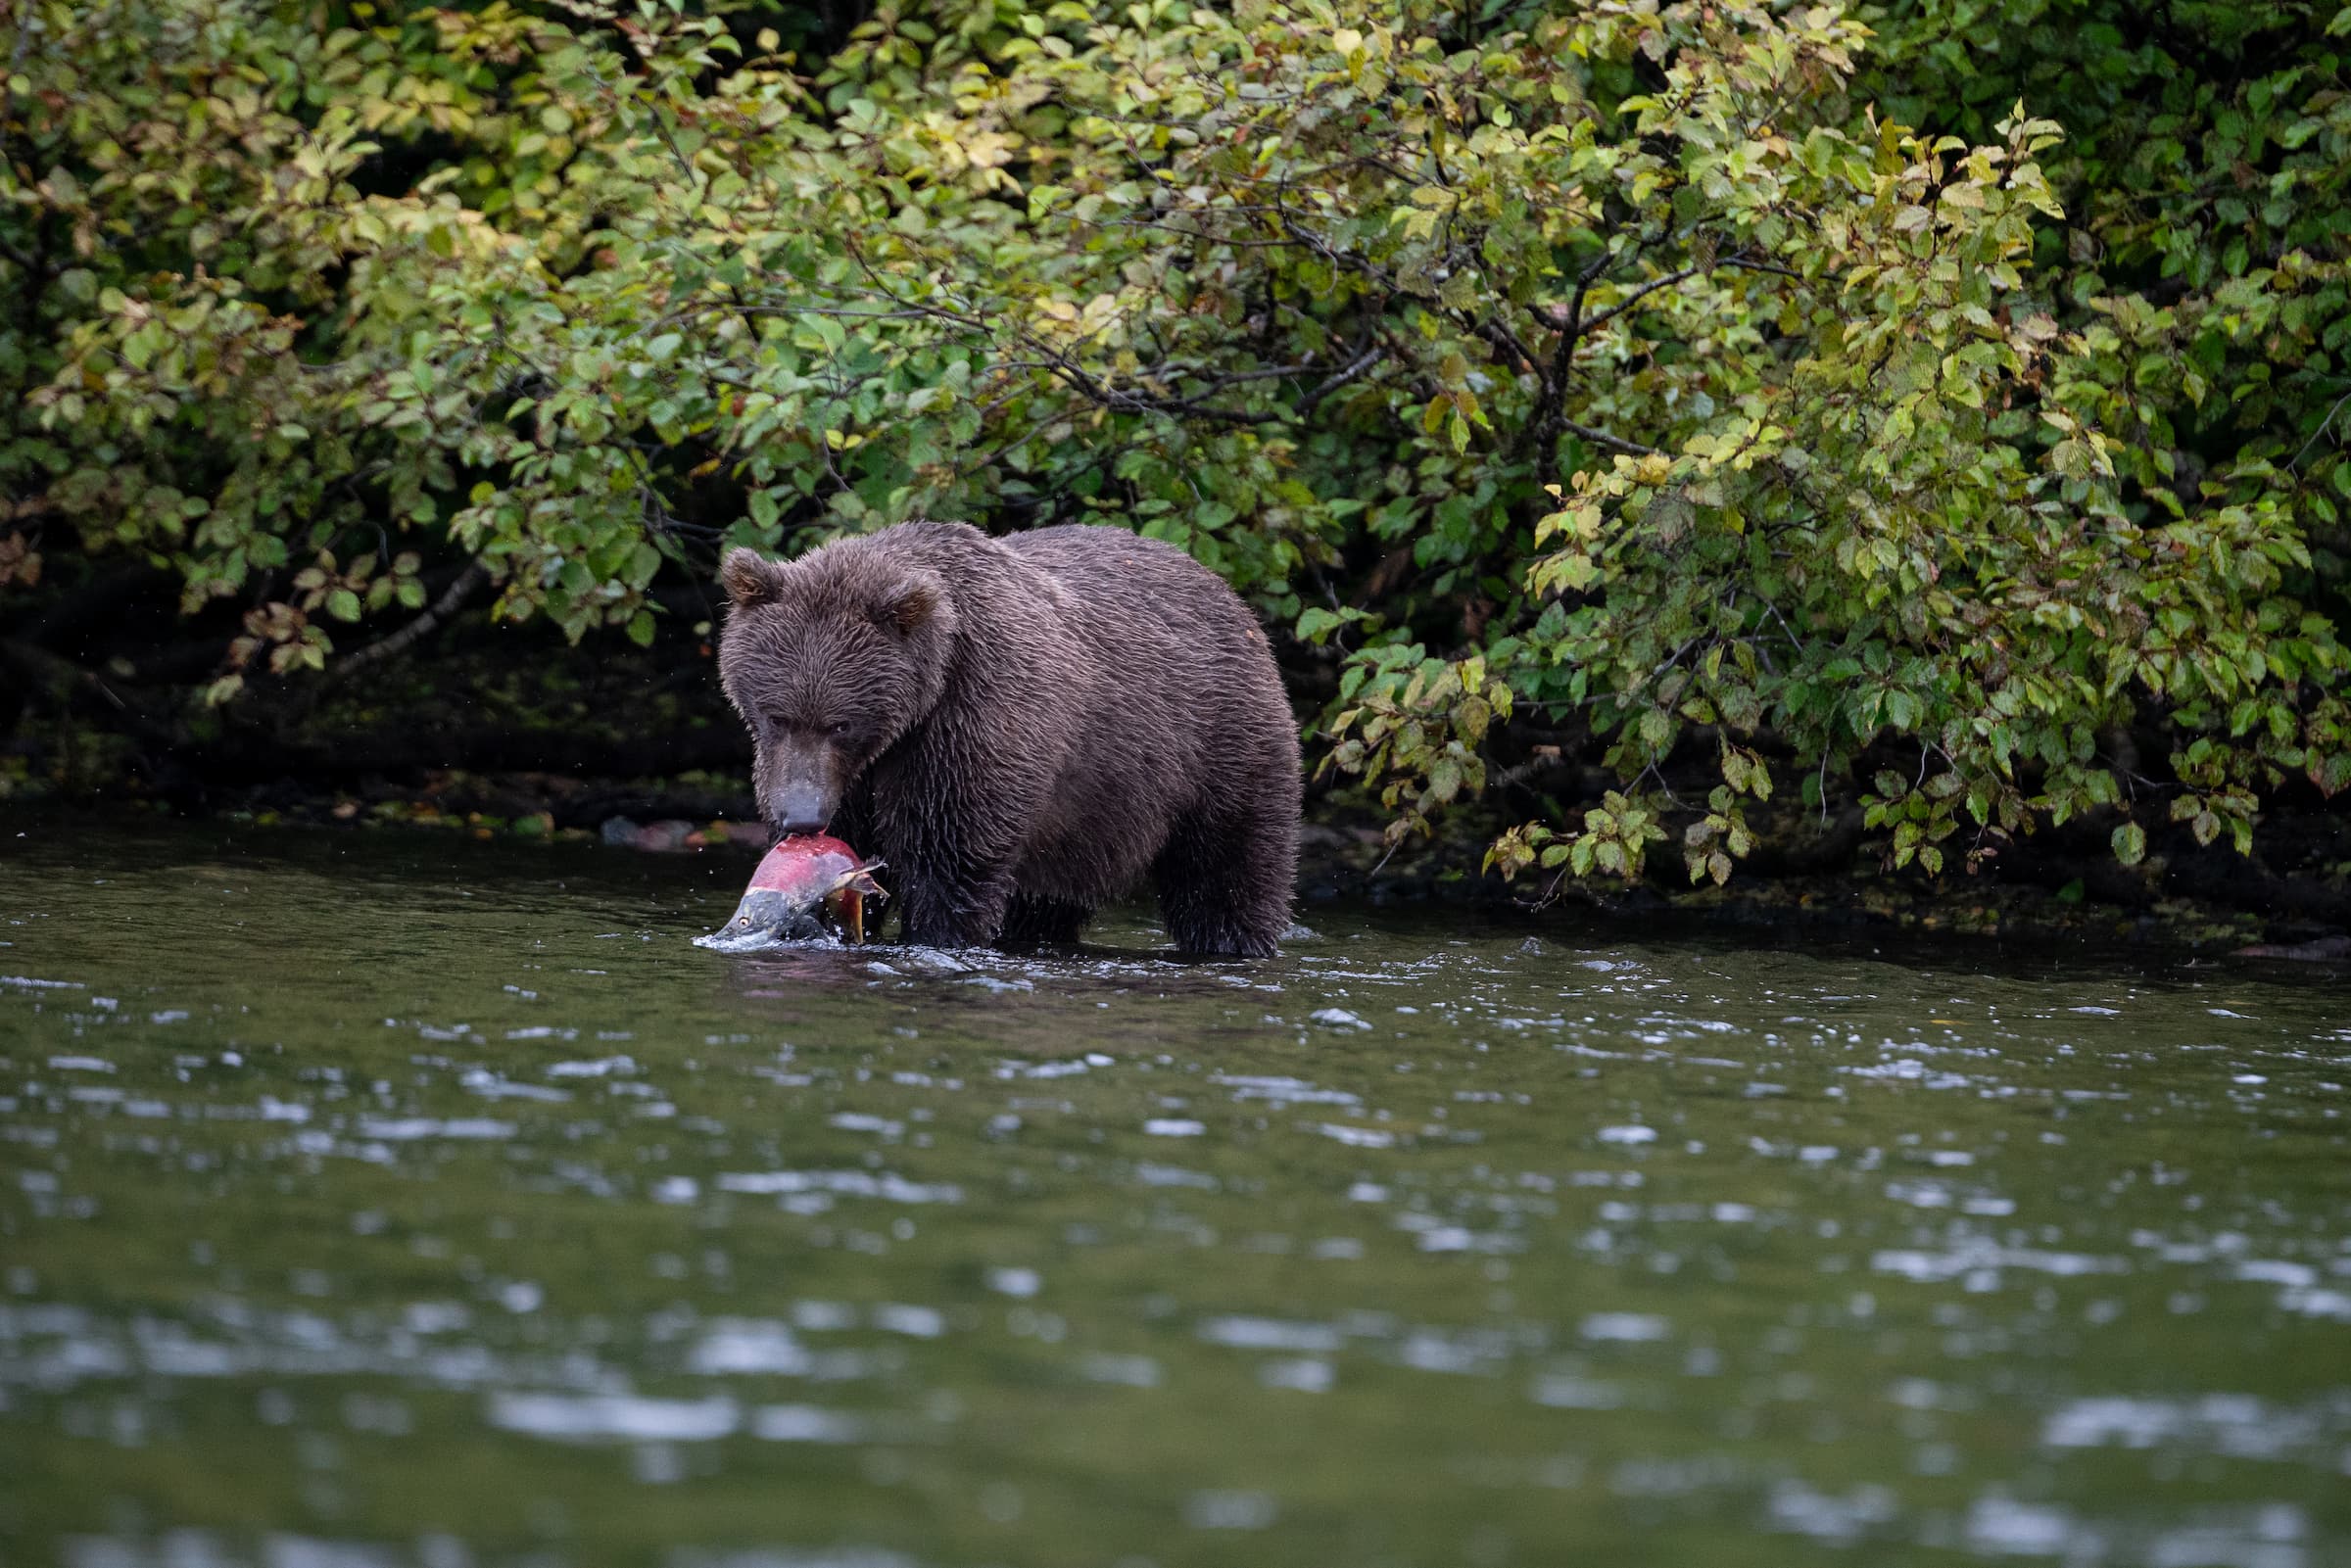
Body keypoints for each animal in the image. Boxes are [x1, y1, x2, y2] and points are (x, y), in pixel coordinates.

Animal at [716, 519, 1301, 957]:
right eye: (776, 716)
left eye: (840, 723)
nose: (803, 817)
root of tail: (1231, 597)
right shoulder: (847, 770)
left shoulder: (977, 714)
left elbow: (949, 858)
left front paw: (935, 933)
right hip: (1080, 819)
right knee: (1045, 900)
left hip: (1219, 744)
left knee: (1225, 872)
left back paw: (1233, 940)